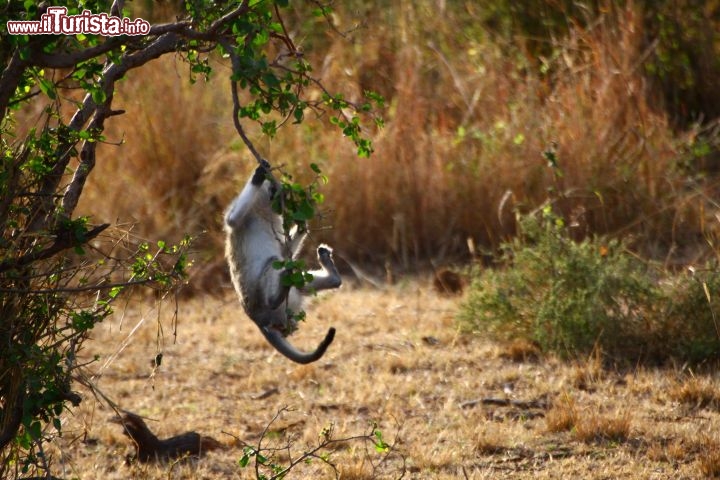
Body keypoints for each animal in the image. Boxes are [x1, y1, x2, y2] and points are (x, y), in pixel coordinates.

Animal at [224, 161, 342, 364]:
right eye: (274, 191)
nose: (280, 202)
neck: (261, 212)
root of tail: (259, 320)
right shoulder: (241, 216)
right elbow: (233, 220)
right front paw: (259, 174)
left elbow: (285, 251)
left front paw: (303, 223)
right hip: (260, 298)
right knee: (274, 263)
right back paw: (275, 297)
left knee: (297, 278)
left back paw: (330, 274)